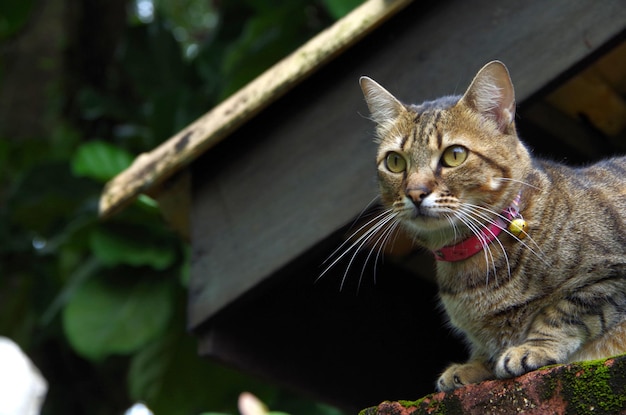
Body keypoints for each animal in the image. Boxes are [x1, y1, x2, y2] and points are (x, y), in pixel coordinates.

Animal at [356, 60, 624, 392]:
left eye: (454, 155)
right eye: (395, 162)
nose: (415, 192)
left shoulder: (609, 276)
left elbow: (565, 311)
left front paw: (532, 347)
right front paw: (475, 365)